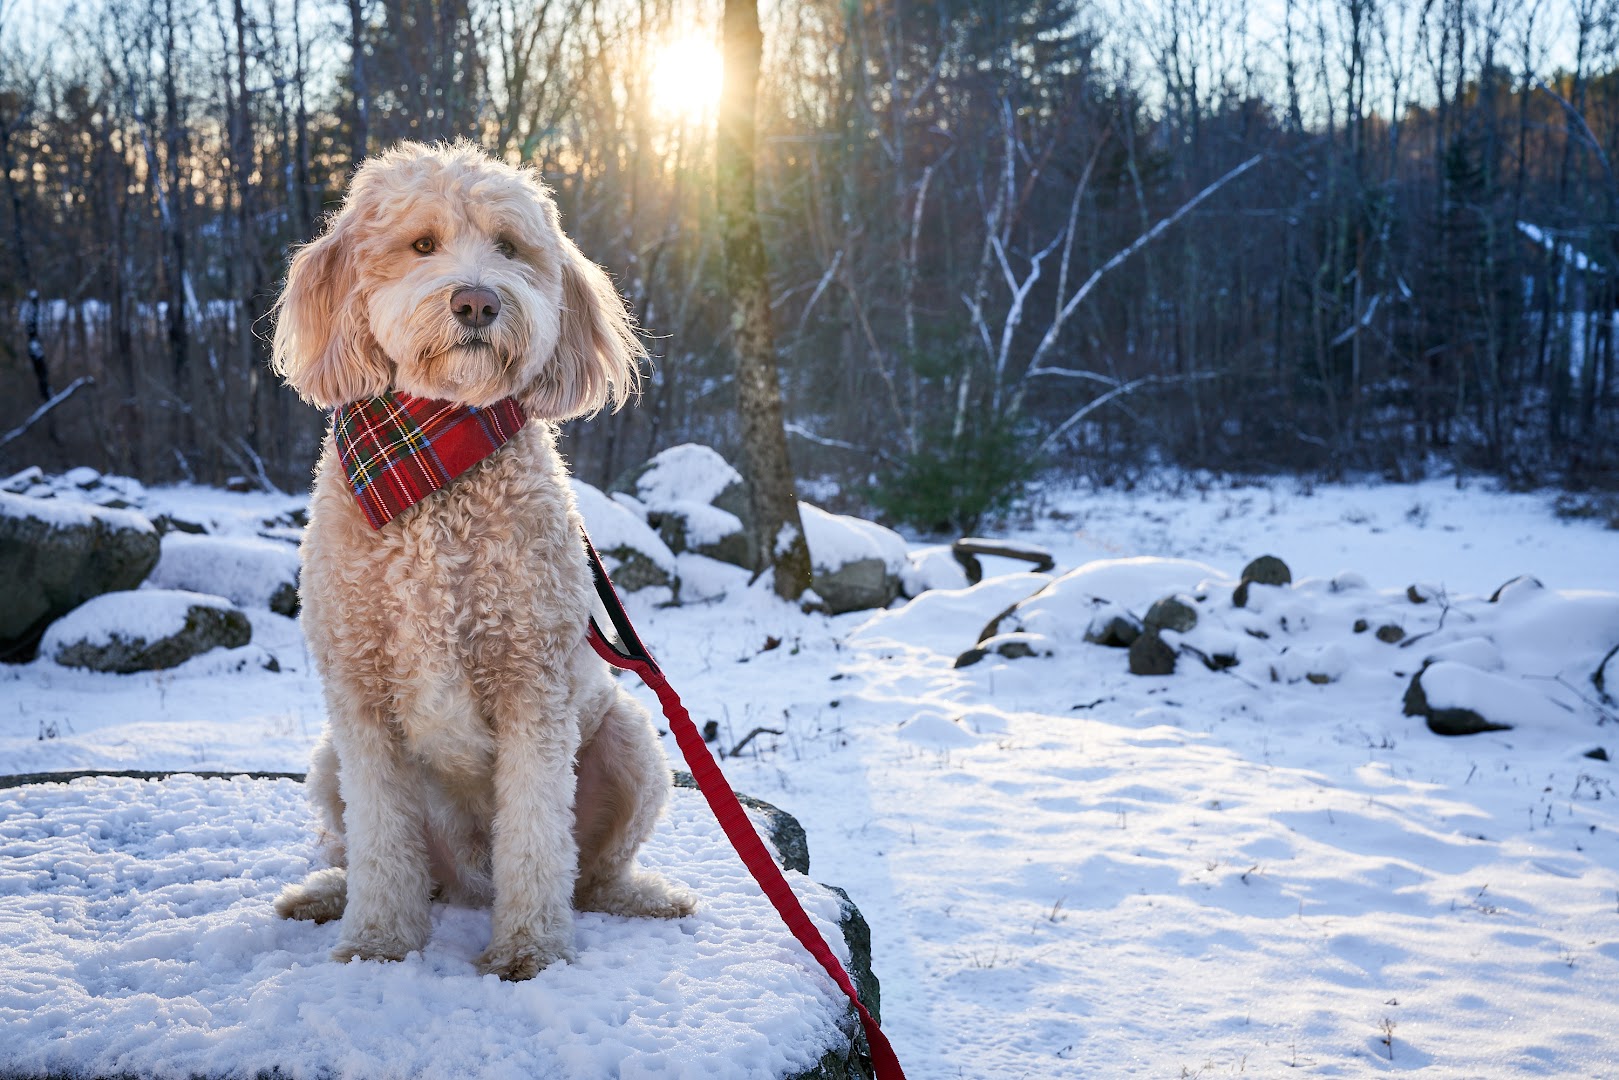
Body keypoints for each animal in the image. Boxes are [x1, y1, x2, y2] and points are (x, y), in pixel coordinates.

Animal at [270, 141, 696, 977]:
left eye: (508, 246)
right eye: (421, 244)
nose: (475, 303)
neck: (437, 466)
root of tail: (468, 879)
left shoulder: (531, 682)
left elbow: (536, 836)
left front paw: (529, 952)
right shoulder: (360, 698)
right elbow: (381, 841)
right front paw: (376, 942)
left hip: (631, 742)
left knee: (592, 872)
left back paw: (642, 896)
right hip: (328, 760)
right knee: (378, 854)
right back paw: (329, 894)